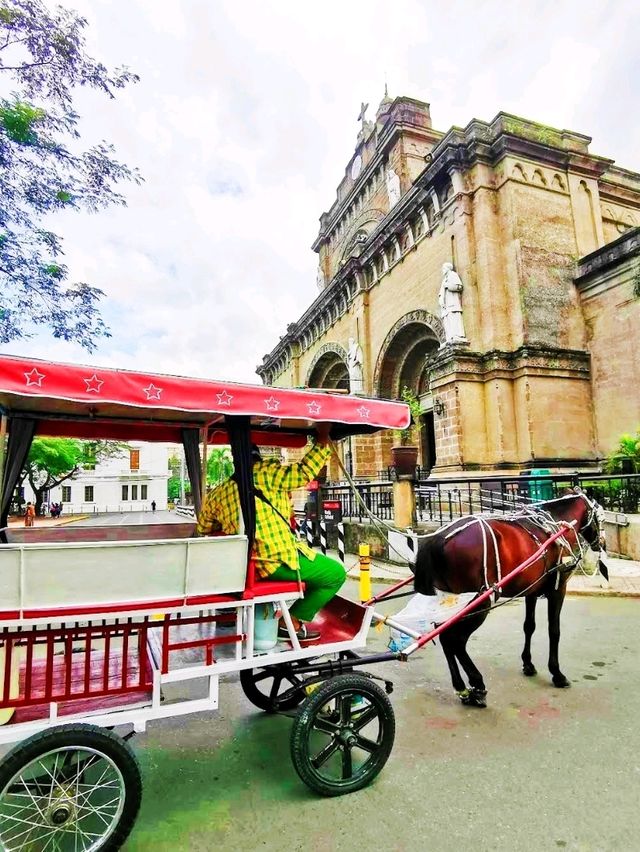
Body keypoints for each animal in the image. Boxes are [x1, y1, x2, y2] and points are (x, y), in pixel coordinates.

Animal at [412, 490, 608, 708]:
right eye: (601, 518)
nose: (602, 543)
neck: (557, 523)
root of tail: (438, 538)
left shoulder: (531, 590)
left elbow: (529, 626)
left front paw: (528, 663)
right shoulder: (558, 588)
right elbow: (554, 630)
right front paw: (556, 673)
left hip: (449, 602)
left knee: (445, 638)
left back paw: (462, 688)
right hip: (478, 601)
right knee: (455, 640)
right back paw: (476, 684)